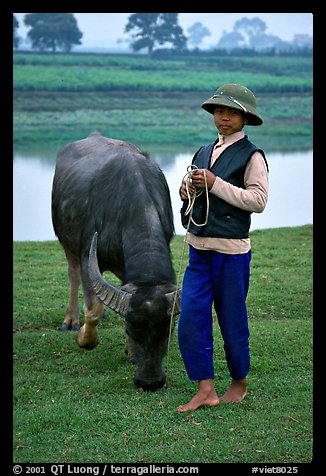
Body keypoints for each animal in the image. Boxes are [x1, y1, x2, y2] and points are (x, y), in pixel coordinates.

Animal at [52, 133, 182, 390]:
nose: (150, 382)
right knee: (73, 275)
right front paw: (84, 338)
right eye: (131, 328)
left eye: (169, 330)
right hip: (67, 242)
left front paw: (131, 353)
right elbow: (92, 309)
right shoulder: (86, 254)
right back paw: (71, 320)